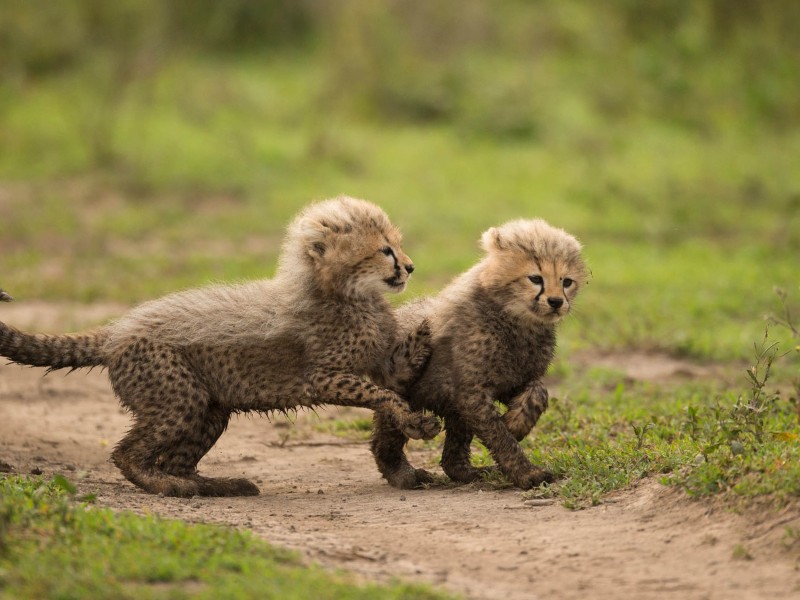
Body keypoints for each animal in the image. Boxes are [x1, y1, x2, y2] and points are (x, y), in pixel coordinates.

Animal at [0, 196, 440, 497]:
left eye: (397, 246)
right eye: (384, 250)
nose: (411, 267)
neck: (346, 293)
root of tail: (115, 332)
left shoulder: (383, 362)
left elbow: (396, 370)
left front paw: (429, 325)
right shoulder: (322, 377)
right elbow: (379, 393)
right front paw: (414, 421)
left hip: (210, 409)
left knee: (179, 459)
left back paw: (216, 484)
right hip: (179, 396)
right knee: (128, 453)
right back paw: (167, 486)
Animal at [371, 218, 588, 490]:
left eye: (567, 281)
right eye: (535, 278)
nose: (557, 302)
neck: (517, 320)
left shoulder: (511, 381)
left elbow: (538, 392)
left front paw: (515, 424)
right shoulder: (472, 392)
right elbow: (500, 437)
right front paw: (527, 474)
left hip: (454, 409)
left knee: (451, 458)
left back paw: (471, 473)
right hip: (404, 392)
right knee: (384, 439)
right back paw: (403, 474)